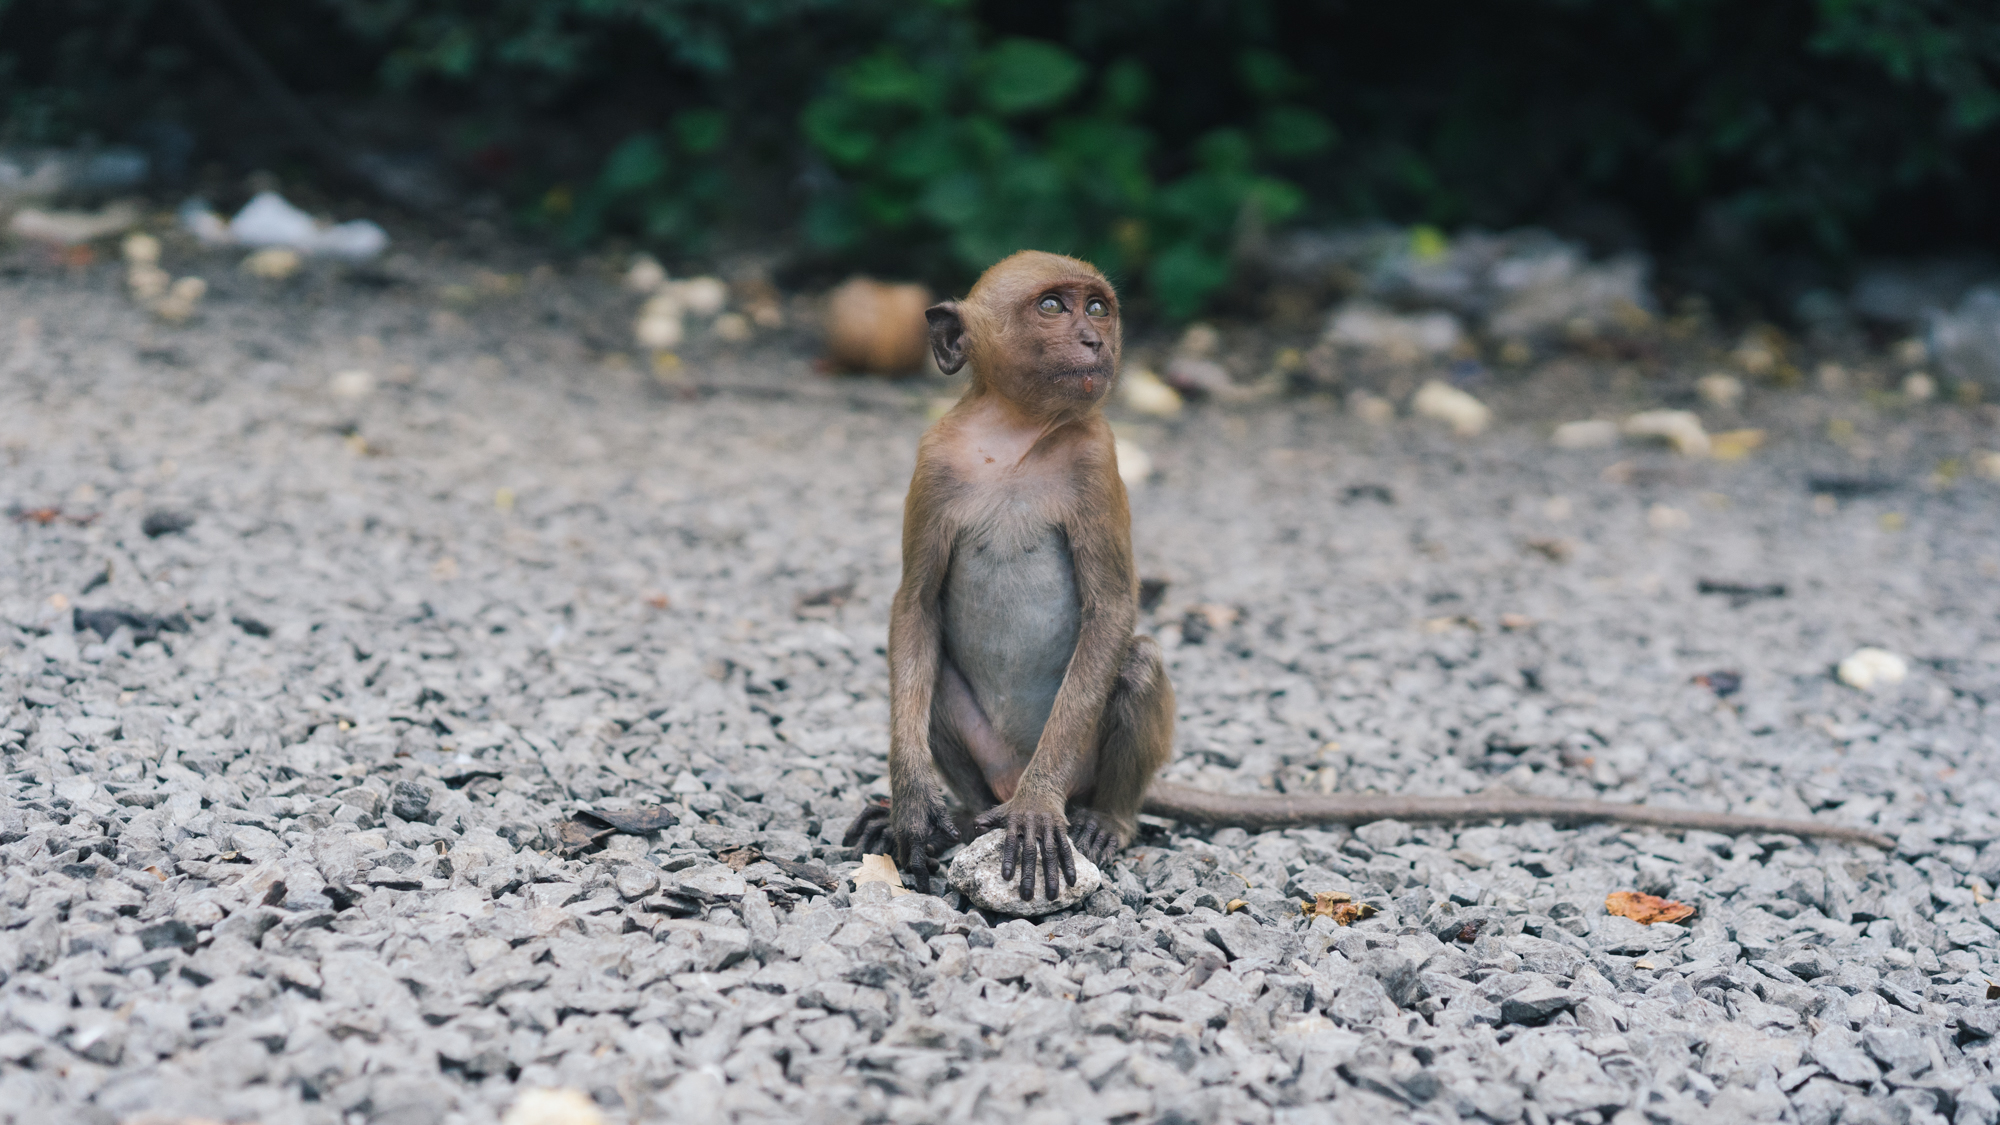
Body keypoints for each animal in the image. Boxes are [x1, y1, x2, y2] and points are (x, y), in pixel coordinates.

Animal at [840, 247, 1888, 900]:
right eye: (1054, 307)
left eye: (1097, 306)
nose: (1095, 339)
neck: (1016, 438)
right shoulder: (936, 460)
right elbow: (911, 608)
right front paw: (910, 792)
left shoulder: (1096, 458)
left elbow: (1110, 613)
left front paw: (1042, 812)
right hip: (984, 756)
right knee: (934, 674)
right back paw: (948, 805)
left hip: (1084, 755)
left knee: (1133, 660)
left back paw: (1099, 818)